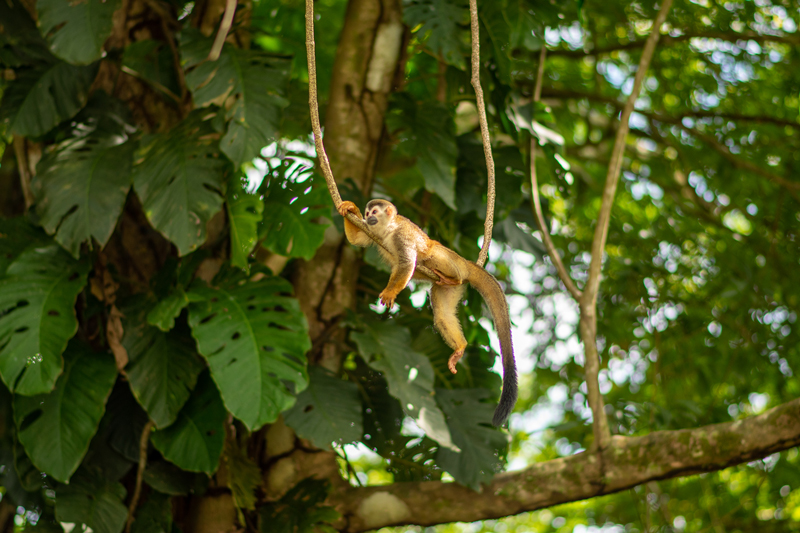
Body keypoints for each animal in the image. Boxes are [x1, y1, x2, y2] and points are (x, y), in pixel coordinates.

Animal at [338, 199, 517, 427]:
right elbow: (358, 240)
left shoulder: (401, 235)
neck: (388, 229)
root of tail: (465, 264)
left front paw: (390, 292)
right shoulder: (372, 232)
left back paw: (452, 277)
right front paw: (349, 207)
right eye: (368, 213)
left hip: (449, 260)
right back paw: (460, 346)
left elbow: (407, 263)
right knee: (442, 315)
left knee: (429, 255)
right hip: (445, 289)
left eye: (375, 212)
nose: (369, 218)